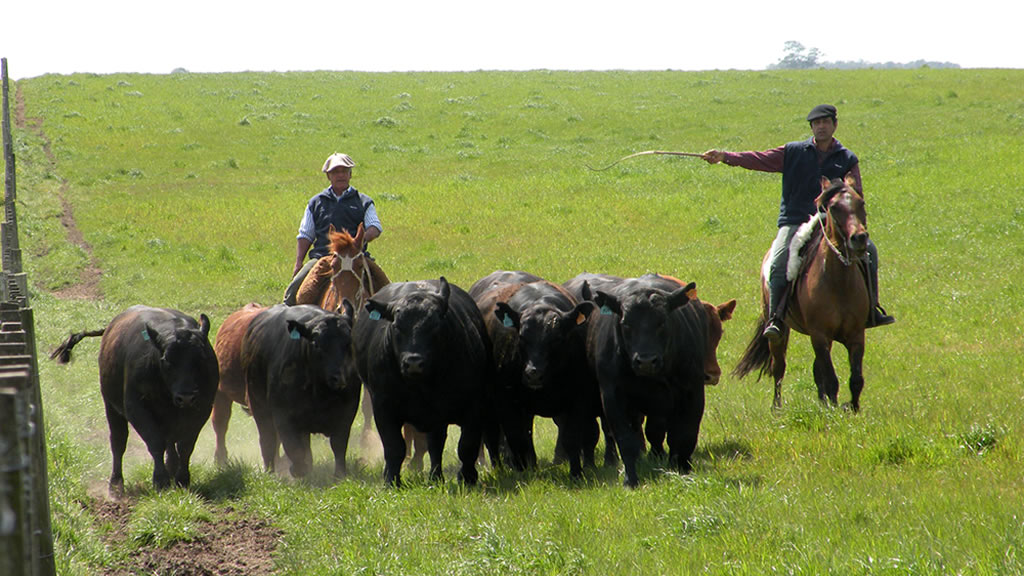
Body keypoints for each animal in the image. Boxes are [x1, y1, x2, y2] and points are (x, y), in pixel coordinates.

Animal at [51, 305, 218, 494]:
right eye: (166, 359)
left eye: (201, 357)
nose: (186, 396)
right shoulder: (136, 408)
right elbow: (155, 442)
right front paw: (160, 480)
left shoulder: (202, 408)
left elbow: (185, 445)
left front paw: (182, 479)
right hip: (111, 406)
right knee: (118, 442)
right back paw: (116, 484)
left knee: (170, 442)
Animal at [242, 297, 362, 477]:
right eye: (317, 344)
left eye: (348, 342)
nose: (339, 377)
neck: (321, 392)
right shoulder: (284, 416)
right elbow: (294, 448)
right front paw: (297, 469)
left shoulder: (346, 414)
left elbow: (338, 445)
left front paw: (340, 474)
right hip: (259, 407)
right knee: (267, 440)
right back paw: (270, 471)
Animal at [354, 276, 501, 481]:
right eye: (397, 326)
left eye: (435, 325)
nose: (414, 362)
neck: (422, 387)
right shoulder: (383, 408)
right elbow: (394, 447)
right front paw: (391, 481)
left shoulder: (473, 406)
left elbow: (467, 445)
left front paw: (467, 478)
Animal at [468, 268, 598, 475]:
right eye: (521, 337)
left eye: (557, 338)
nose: (533, 373)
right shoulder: (508, 402)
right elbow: (517, 440)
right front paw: (524, 473)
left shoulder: (578, 399)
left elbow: (572, 438)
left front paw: (576, 473)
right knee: (495, 438)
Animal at [737, 172, 872, 409]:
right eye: (834, 207)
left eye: (861, 202)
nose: (859, 238)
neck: (839, 282)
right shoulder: (819, 335)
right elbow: (831, 379)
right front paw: (835, 410)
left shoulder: (856, 335)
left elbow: (855, 379)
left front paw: (852, 409)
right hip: (780, 333)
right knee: (778, 368)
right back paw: (777, 407)